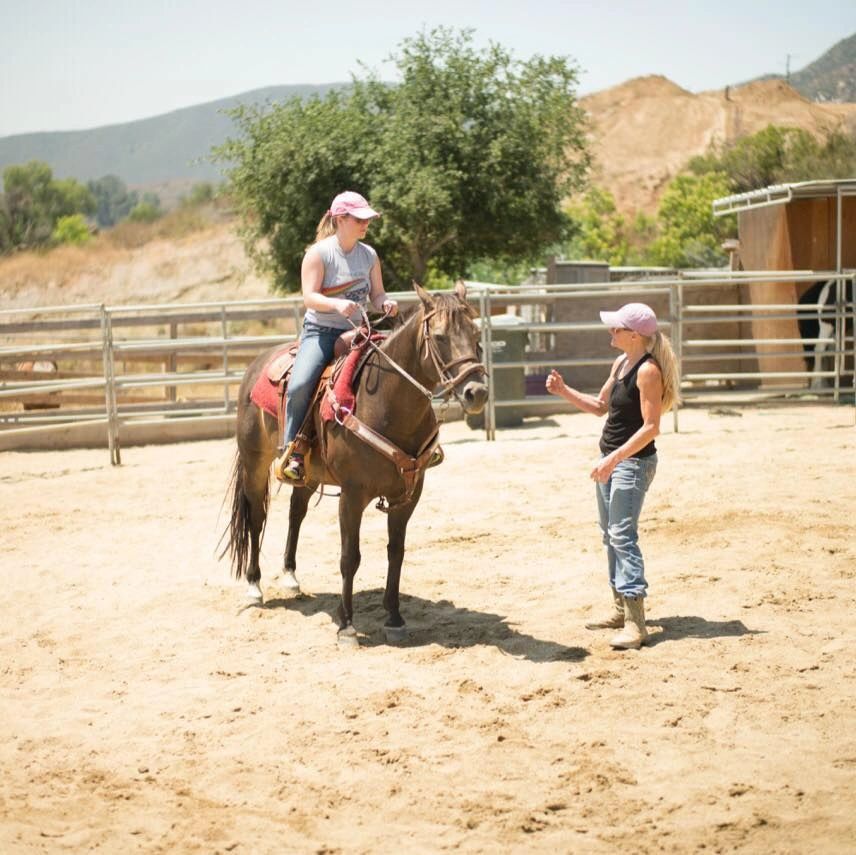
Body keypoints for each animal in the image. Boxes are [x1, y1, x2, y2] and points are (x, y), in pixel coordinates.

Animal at [221, 284, 488, 644]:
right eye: (441, 336)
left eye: (475, 333)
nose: (477, 392)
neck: (386, 403)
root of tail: (256, 365)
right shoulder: (352, 495)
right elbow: (350, 557)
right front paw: (346, 624)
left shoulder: (408, 495)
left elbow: (396, 552)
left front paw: (394, 617)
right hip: (254, 463)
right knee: (256, 517)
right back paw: (254, 585)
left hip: (308, 474)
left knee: (296, 511)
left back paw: (290, 576)